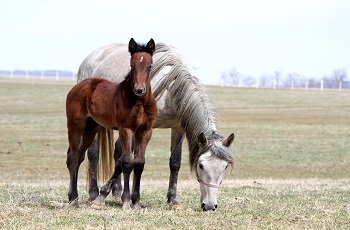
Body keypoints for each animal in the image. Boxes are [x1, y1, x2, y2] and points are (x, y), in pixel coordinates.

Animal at [65, 37, 157, 208]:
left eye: (150, 65)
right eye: (131, 65)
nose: (139, 90)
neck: (139, 103)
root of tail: (80, 85)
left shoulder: (146, 131)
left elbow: (139, 164)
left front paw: (136, 202)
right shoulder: (126, 129)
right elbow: (127, 162)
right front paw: (126, 201)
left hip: (91, 128)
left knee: (79, 156)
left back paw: (72, 197)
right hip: (75, 126)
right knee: (72, 157)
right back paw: (74, 199)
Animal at [78, 41, 234, 210]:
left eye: (225, 167)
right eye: (201, 165)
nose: (210, 206)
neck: (169, 88)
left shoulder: (178, 128)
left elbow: (175, 162)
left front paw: (173, 200)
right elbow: (123, 161)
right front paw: (102, 196)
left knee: (117, 150)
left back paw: (118, 193)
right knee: (93, 153)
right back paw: (93, 193)